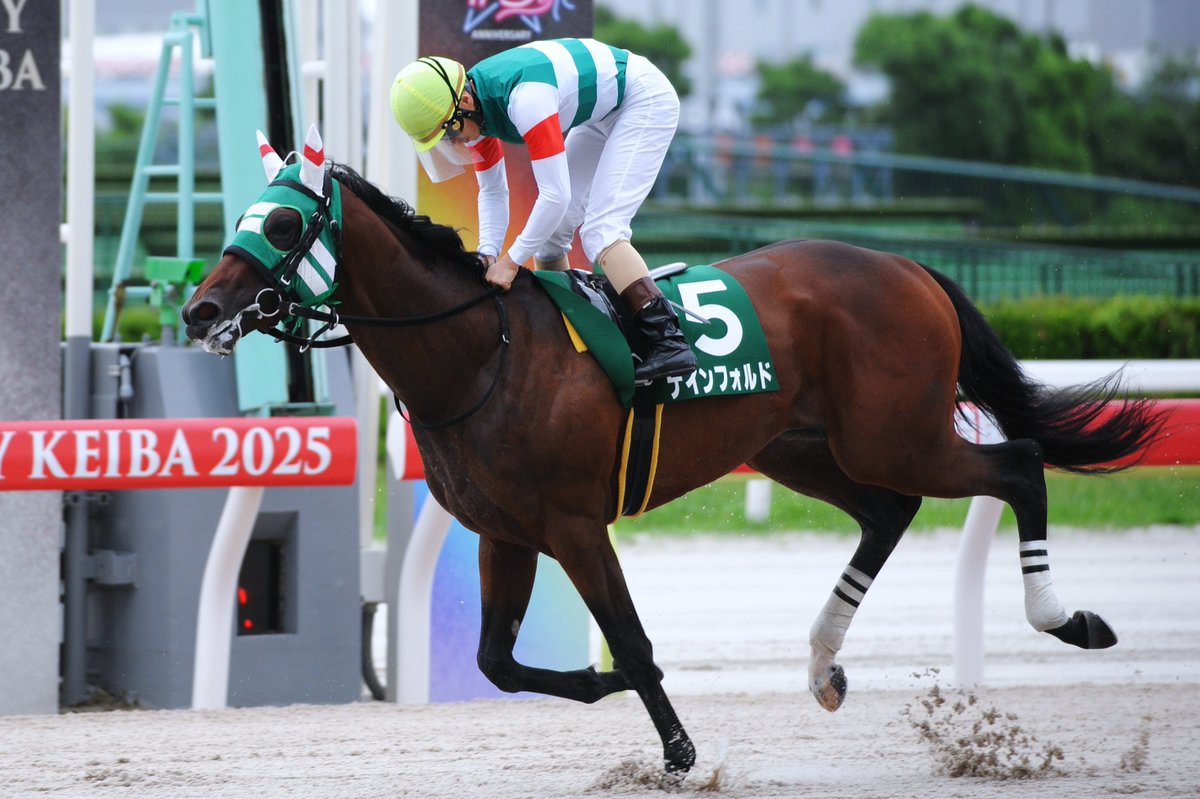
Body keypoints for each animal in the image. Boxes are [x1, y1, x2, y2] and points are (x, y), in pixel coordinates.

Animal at [183, 128, 1163, 776]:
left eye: (281, 226)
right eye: (242, 214)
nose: (198, 310)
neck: (481, 351)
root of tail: (908, 266)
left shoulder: (574, 523)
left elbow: (631, 634)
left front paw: (681, 749)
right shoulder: (505, 531)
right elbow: (500, 662)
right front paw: (607, 682)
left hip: (900, 435)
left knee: (1019, 462)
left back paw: (1067, 617)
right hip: (805, 445)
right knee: (891, 511)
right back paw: (823, 664)